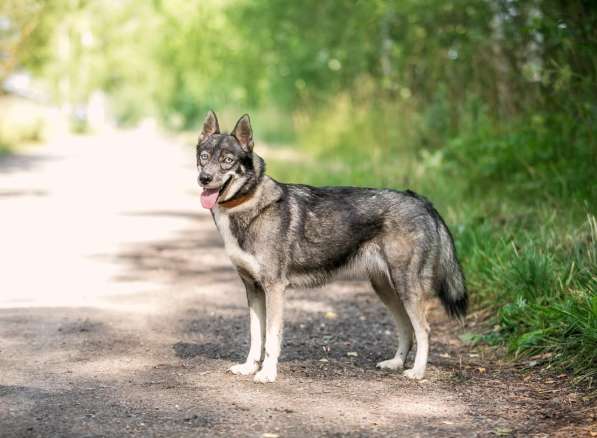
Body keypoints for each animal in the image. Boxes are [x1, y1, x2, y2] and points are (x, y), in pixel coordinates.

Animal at [196, 110, 466, 384]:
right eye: (204, 157)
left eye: (227, 160)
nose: (203, 178)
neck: (248, 205)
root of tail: (420, 200)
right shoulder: (252, 288)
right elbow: (255, 336)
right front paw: (249, 367)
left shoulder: (274, 288)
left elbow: (271, 338)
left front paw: (268, 372)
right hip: (386, 289)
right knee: (406, 328)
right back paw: (396, 363)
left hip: (405, 287)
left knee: (423, 329)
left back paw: (417, 371)